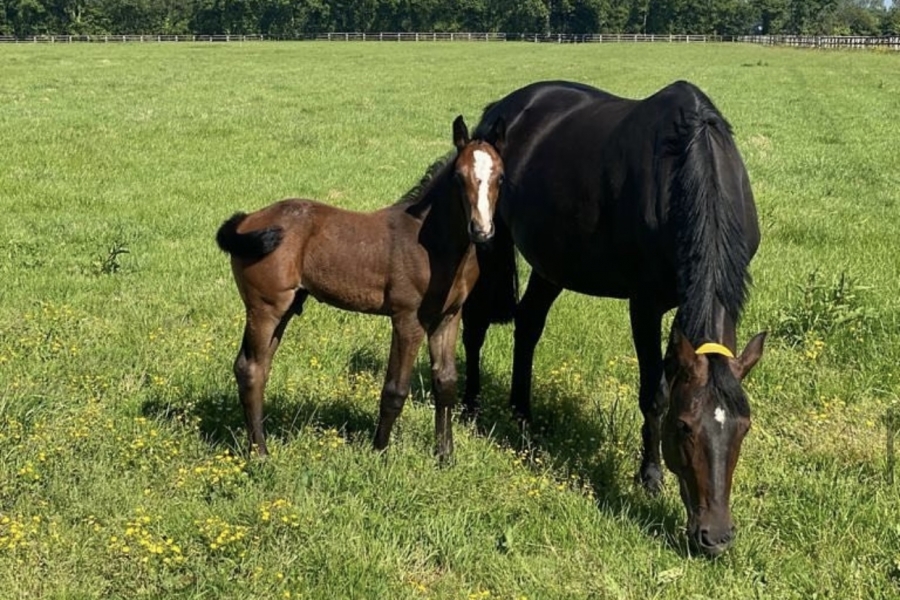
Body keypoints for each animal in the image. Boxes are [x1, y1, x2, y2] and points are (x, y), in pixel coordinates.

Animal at [215, 115, 510, 462]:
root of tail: (247, 220)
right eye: (459, 177)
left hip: (285, 308)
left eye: (501, 177)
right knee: (249, 369)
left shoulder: (448, 317)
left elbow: (446, 383)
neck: (434, 245)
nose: (481, 230)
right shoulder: (408, 319)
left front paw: (445, 456)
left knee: (260, 368)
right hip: (265, 308)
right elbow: (395, 389)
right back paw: (260, 454)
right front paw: (379, 452)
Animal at [461, 81, 766, 557]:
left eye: (744, 428)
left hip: (553, 263)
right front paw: (650, 478)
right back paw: (471, 408)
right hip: (490, 238)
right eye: (684, 427)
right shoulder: (645, 303)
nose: (714, 538)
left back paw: (523, 418)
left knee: (528, 325)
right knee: (475, 323)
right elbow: (654, 394)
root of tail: (505, 107)